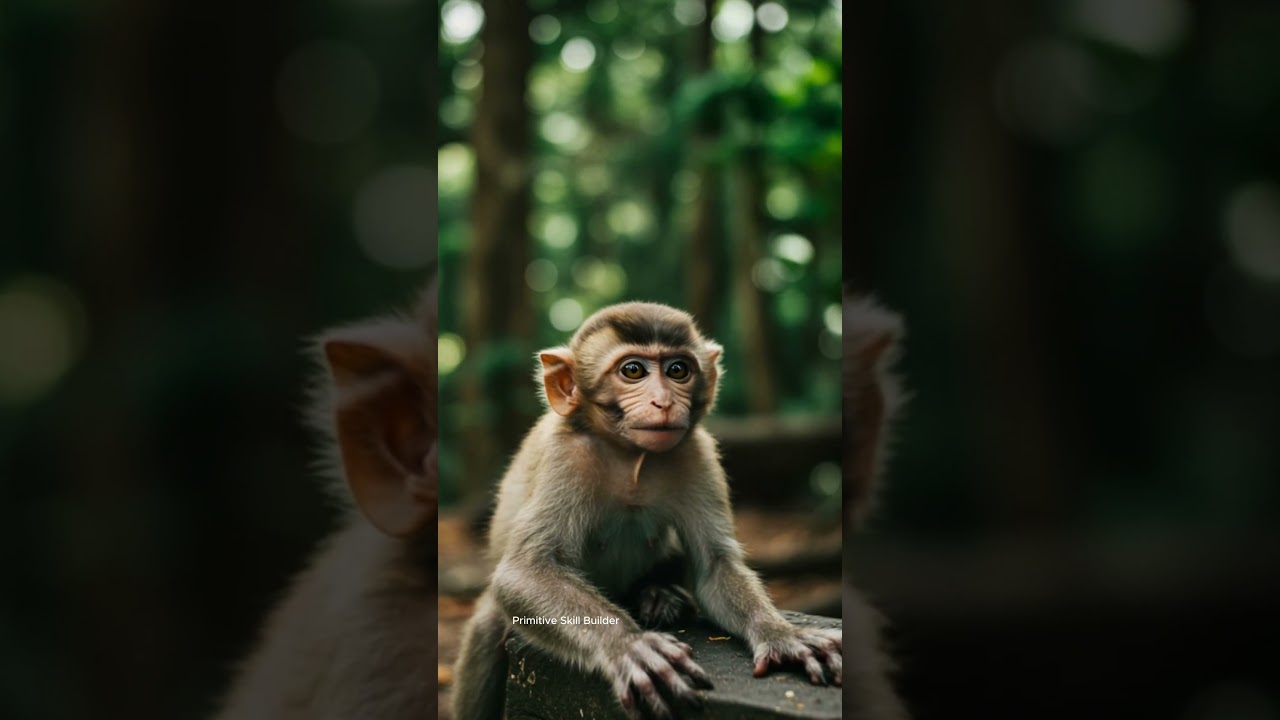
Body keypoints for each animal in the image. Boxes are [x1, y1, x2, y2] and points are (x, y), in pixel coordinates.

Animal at [451, 301, 843, 720]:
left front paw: (784, 635)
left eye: (678, 370)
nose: (665, 402)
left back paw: (659, 595)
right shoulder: (565, 456)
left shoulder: (697, 454)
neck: (630, 457)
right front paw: (630, 644)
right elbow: (524, 572)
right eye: (633, 371)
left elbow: (714, 565)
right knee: (489, 629)